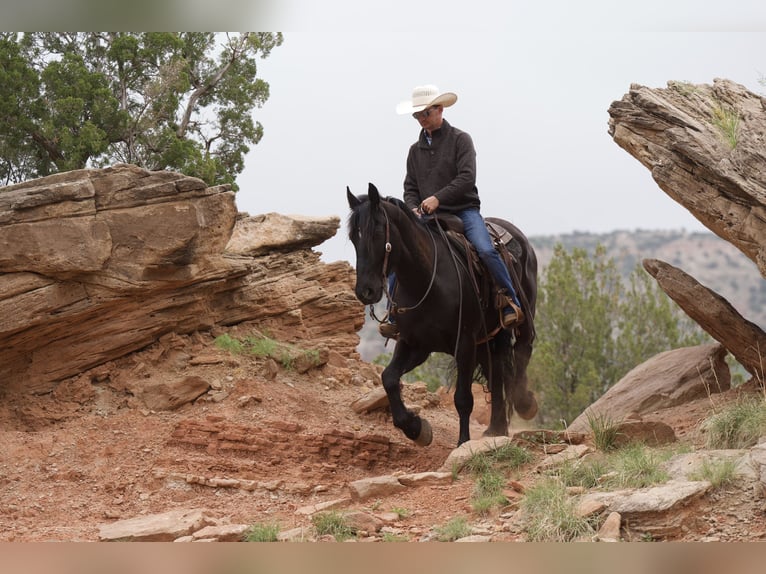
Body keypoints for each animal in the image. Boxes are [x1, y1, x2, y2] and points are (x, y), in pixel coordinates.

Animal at [350, 184, 540, 450]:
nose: (365, 291)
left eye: (377, 233)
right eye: (353, 237)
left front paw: (462, 442)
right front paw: (416, 428)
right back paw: (496, 428)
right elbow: (388, 378)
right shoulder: (415, 344)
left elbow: (463, 398)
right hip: (488, 338)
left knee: (522, 353)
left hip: (521, 320)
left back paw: (524, 404)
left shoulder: (464, 343)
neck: (427, 279)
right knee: (497, 370)